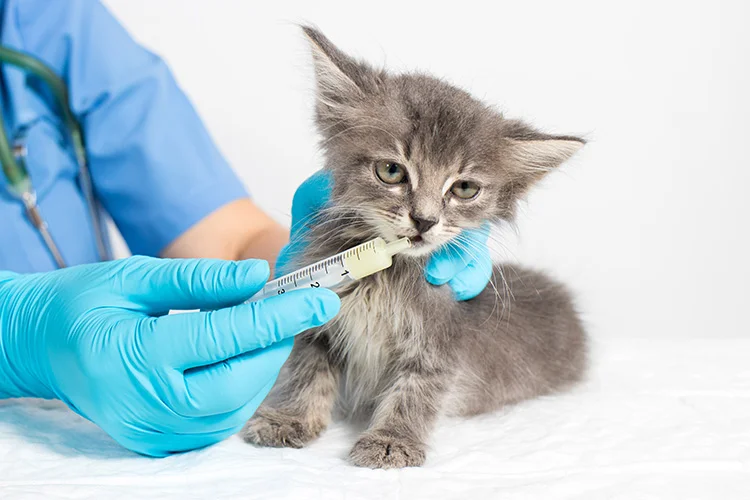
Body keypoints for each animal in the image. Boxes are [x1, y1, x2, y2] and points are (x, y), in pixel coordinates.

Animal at [244, 27, 592, 468]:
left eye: (464, 188)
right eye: (391, 171)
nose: (424, 220)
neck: (383, 278)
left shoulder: (439, 339)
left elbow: (416, 391)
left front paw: (392, 441)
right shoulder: (318, 320)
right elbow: (307, 372)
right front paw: (288, 418)